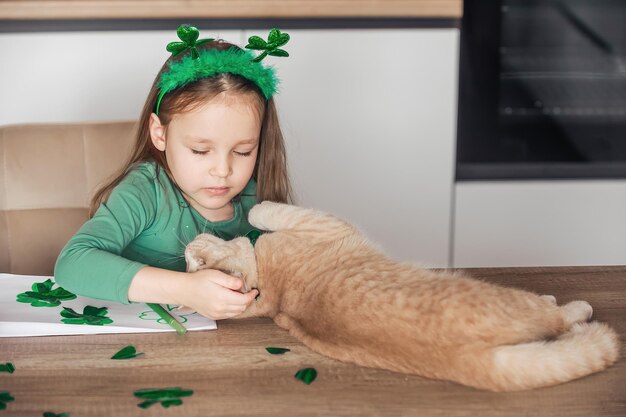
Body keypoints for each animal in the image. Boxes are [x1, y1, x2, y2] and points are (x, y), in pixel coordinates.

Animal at [183, 202, 616, 390]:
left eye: (192, 261)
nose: (185, 249)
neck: (274, 289)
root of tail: (470, 361)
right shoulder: (318, 222)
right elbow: (264, 210)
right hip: (512, 298)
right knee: (557, 317)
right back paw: (566, 305)